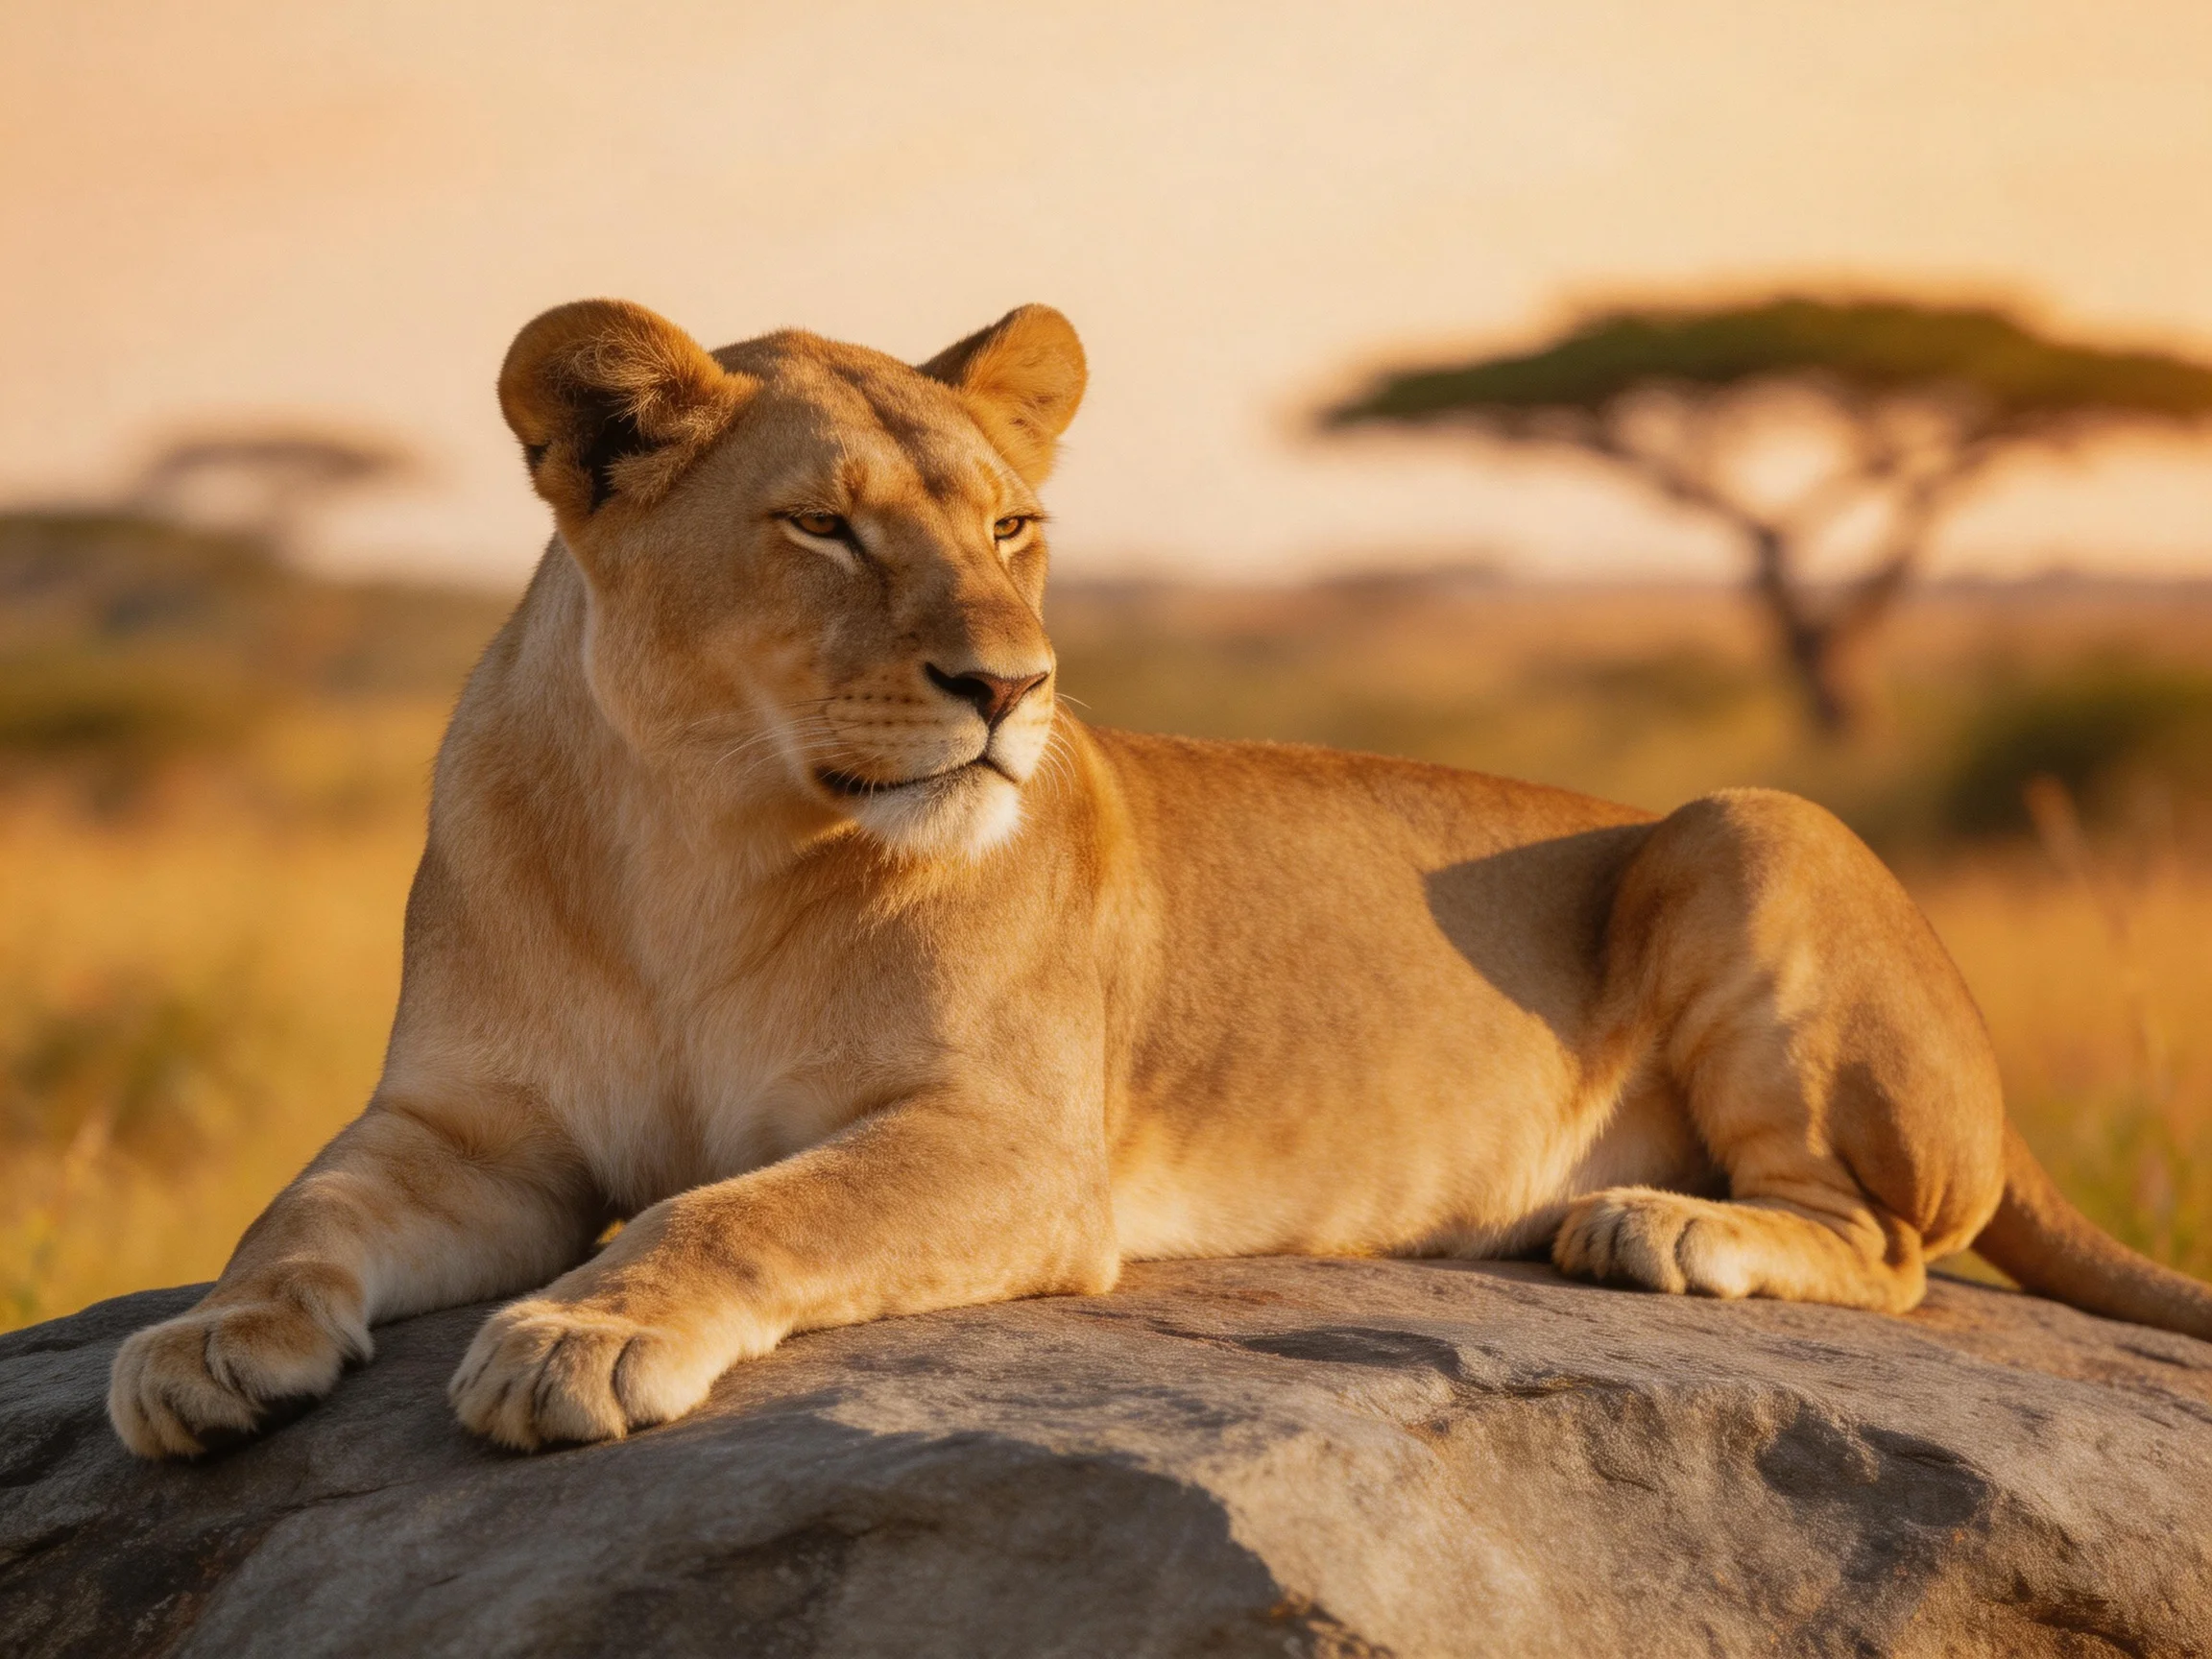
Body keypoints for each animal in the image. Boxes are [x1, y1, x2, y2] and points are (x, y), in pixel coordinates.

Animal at [110, 298, 2212, 1458]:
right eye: (821, 530)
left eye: (1011, 528)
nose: (1010, 689)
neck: (691, 838)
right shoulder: (473, 1128)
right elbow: (302, 1206)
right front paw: (204, 1347)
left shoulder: (1011, 1146)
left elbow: (741, 1208)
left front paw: (586, 1330)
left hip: (1742, 820)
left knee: (1892, 1246)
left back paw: (1658, 1228)